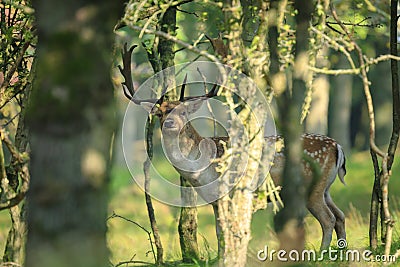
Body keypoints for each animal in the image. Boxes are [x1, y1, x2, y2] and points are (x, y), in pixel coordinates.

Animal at [119, 45, 346, 254]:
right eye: (160, 113)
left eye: (183, 112)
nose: (170, 123)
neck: (199, 172)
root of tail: (337, 146)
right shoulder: (214, 200)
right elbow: (220, 232)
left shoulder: (223, 194)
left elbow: (223, 233)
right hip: (325, 188)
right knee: (340, 216)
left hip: (311, 186)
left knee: (328, 219)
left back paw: (321, 254)